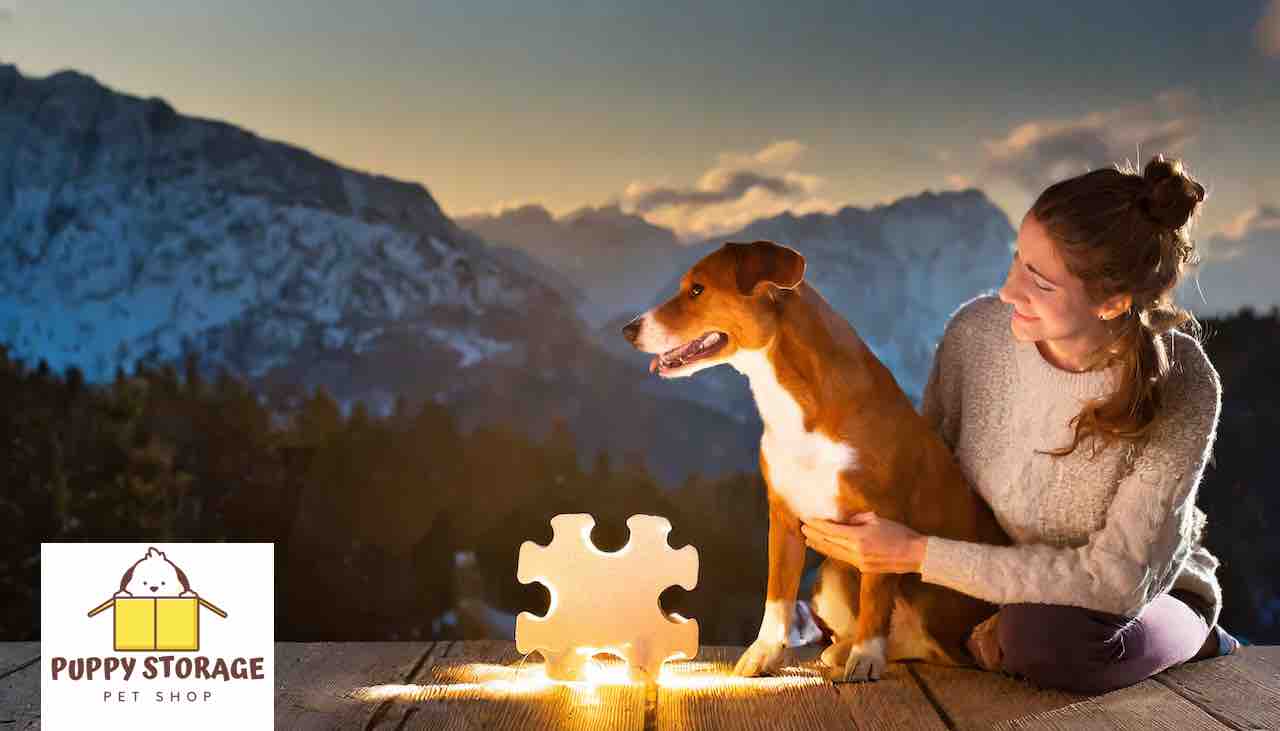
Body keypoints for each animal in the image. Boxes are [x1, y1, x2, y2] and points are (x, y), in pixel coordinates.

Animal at [619, 243, 1008, 686]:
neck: (797, 403)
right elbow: (778, 595)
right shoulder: (784, 517)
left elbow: (875, 596)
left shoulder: (881, 522)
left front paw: (866, 658)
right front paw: (763, 653)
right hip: (832, 577)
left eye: (697, 290)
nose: (628, 330)